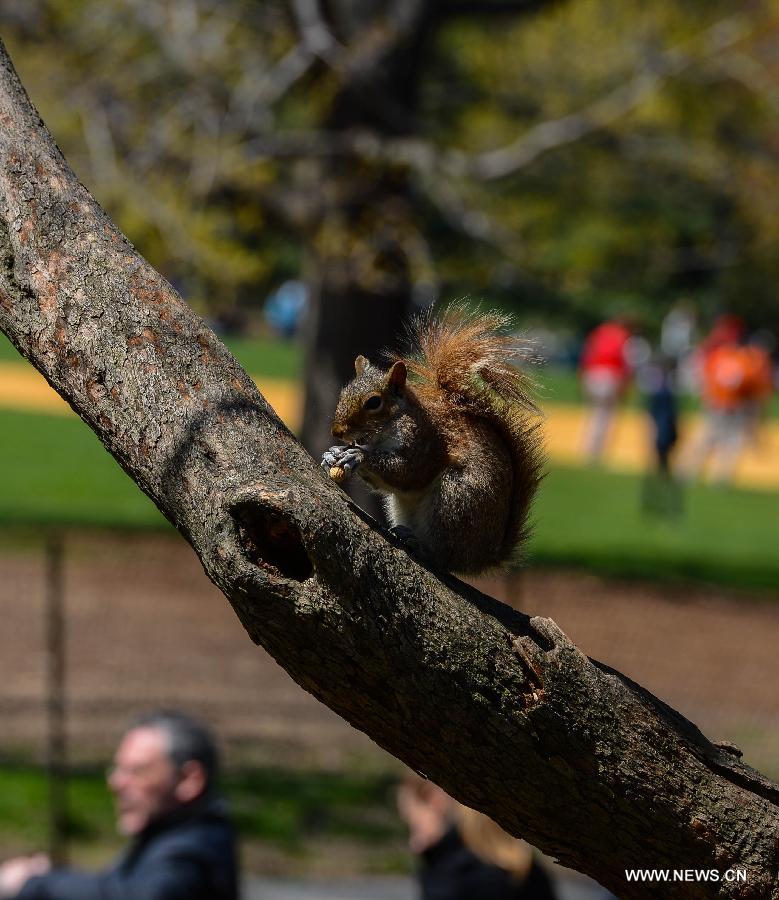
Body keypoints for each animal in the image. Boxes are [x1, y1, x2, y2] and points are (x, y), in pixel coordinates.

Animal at [322, 306, 544, 572]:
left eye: (374, 402)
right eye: (344, 392)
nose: (337, 431)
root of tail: (484, 557)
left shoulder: (426, 443)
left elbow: (408, 472)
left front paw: (358, 456)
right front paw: (332, 453)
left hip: (455, 501)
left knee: (445, 557)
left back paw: (422, 546)